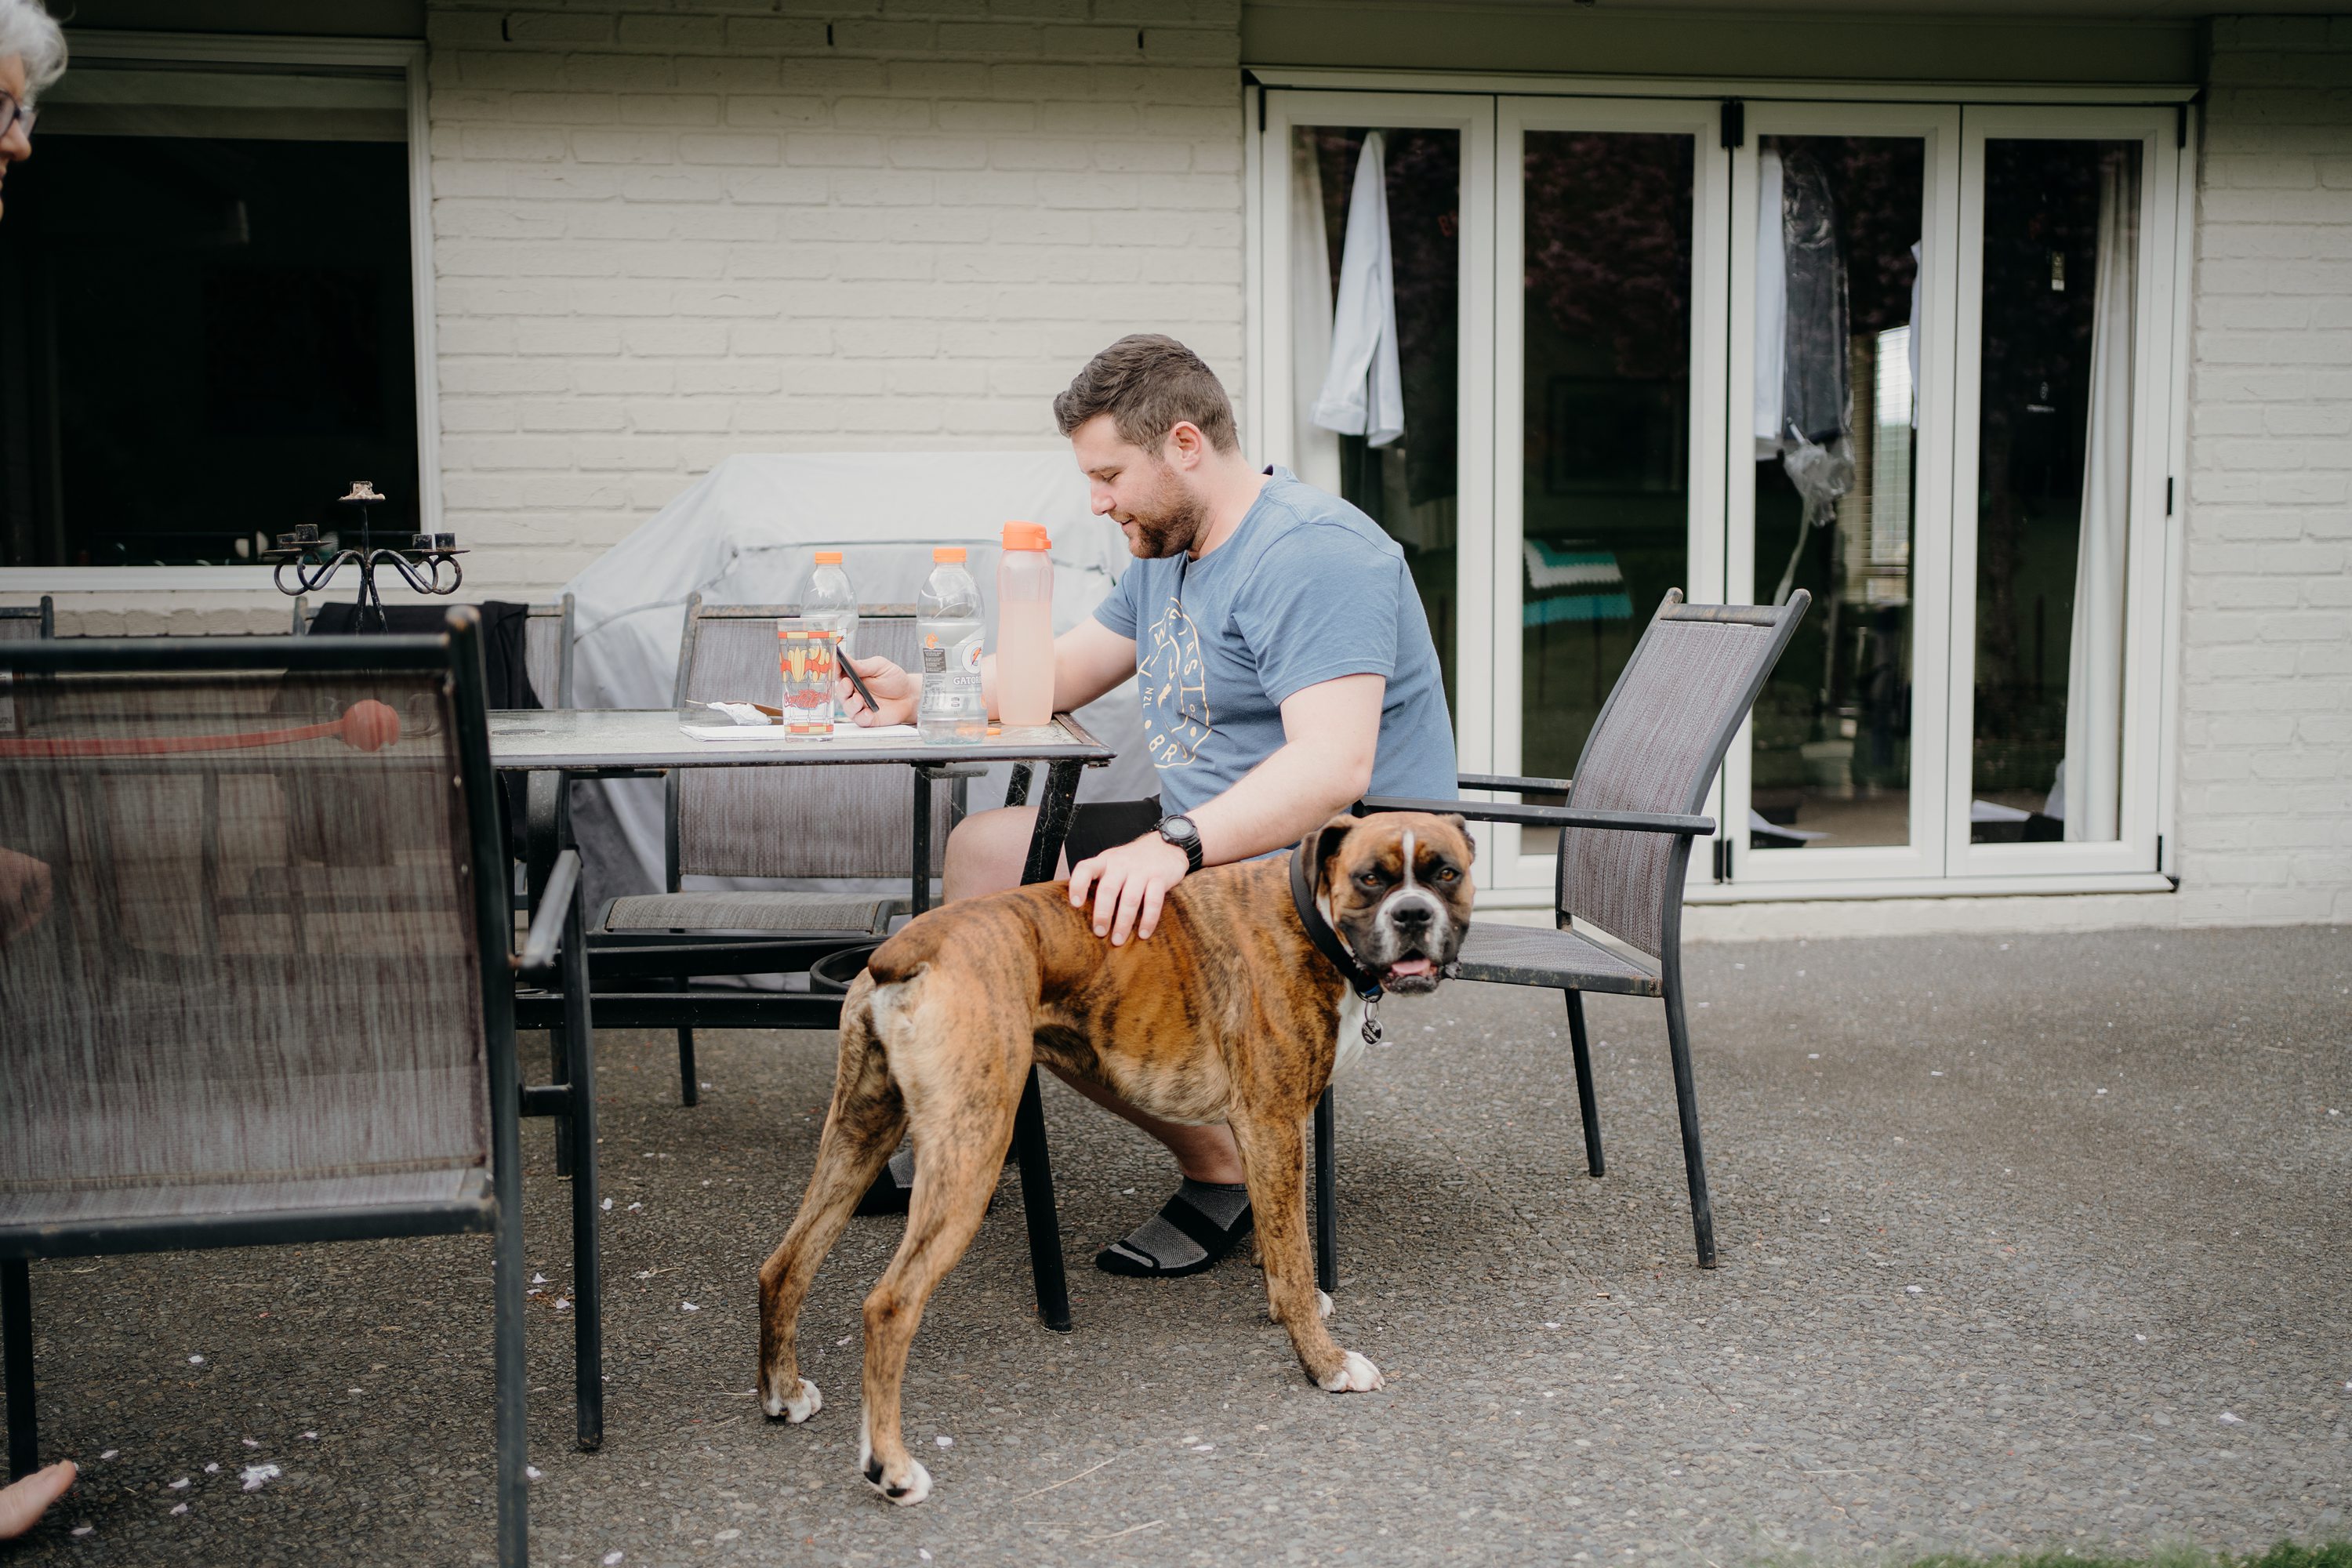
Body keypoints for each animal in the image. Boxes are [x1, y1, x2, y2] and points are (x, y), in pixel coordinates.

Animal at [757, 808, 1468, 1504]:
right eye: (1371, 879)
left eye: (1447, 875)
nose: (1413, 914)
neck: (1311, 916)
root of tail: (911, 943)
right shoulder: (1273, 1124)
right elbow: (1293, 1257)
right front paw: (1324, 1364)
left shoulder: (1263, 1134)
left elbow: (1277, 1239)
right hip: (969, 1153)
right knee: (889, 1306)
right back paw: (891, 1468)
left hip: (859, 1134)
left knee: (785, 1265)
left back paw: (782, 1395)